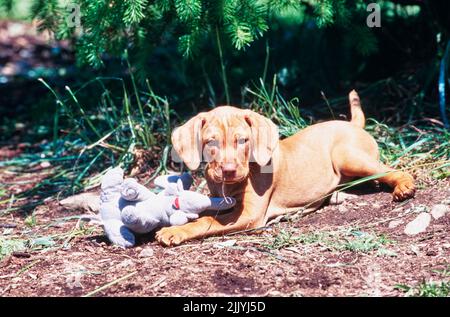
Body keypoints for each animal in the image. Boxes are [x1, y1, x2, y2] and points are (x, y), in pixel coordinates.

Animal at [156, 90, 414, 246]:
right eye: (211, 142)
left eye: (243, 141)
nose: (228, 171)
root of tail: (354, 125)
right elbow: (205, 213)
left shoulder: (248, 215)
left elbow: (207, 221)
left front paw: (175, 231)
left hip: (347, 156)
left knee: (392, 170)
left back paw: (403, 186)